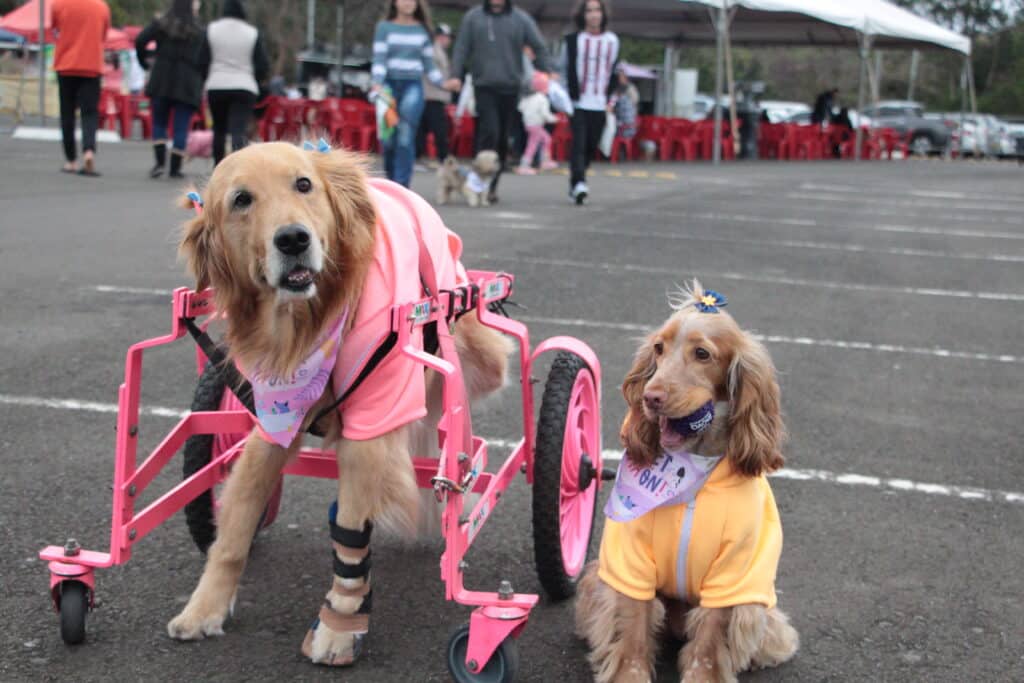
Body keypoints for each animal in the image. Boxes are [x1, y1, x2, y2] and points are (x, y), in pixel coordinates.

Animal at [172, 140, 516, 667]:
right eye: (241, 200)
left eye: (303, 184)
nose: (293, 239)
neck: (307, 323)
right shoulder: (274, 417)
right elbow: (235, 524)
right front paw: (204, 607)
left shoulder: (372, 426)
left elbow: (351, 532)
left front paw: (338, 626)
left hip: (473, 343)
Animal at [577, 278, 798, 683]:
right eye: (659, 348)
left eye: (702, 353)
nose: (650, 397)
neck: (693, 468)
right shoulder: (629, 561)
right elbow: (632, 625)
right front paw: (629, 674)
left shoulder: (733, 572)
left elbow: (711, 635)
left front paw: (704, 676)